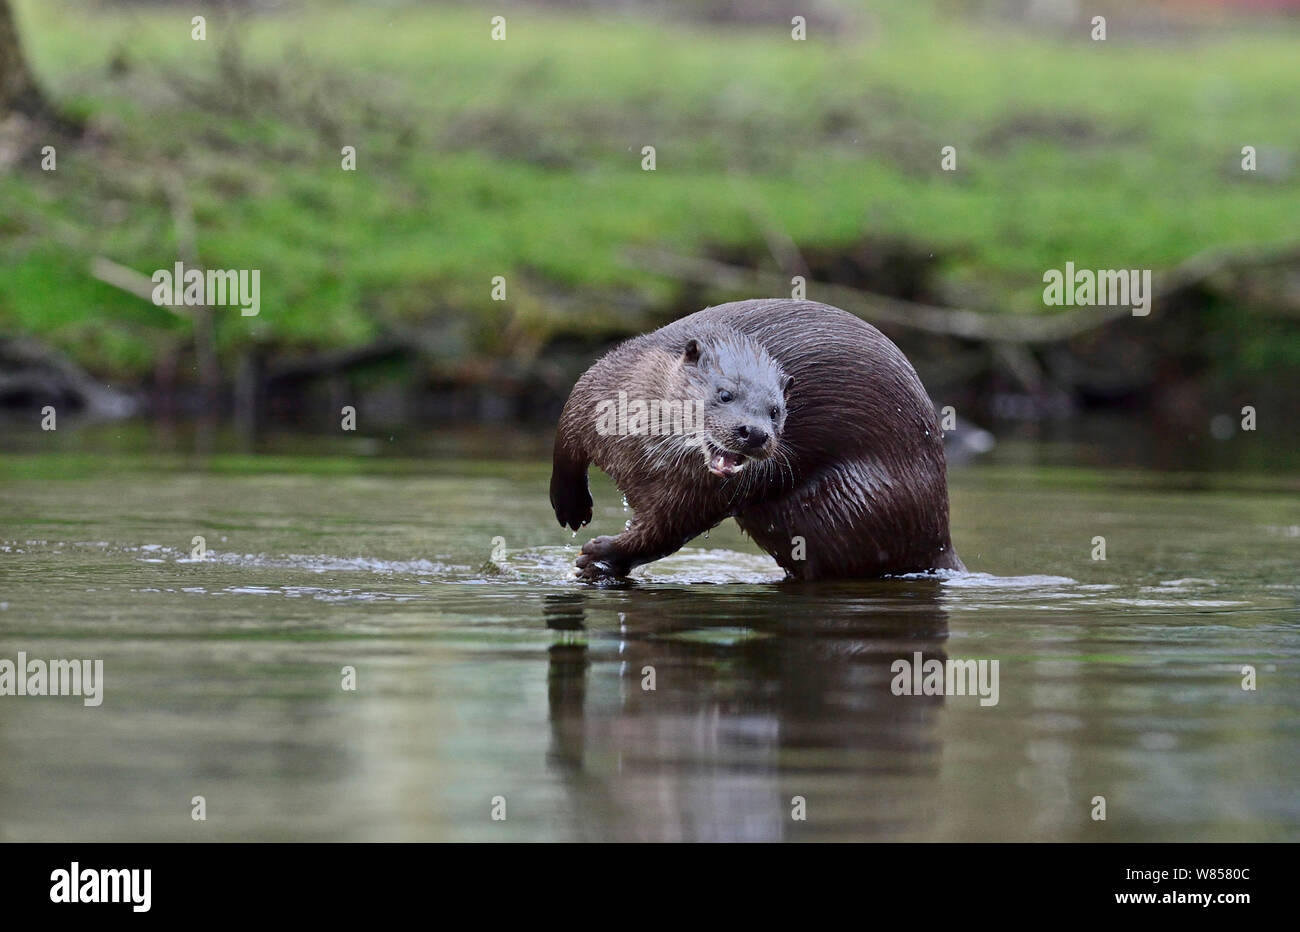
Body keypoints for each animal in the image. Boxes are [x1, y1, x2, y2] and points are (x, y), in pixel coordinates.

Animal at [548, 297, 967, 577]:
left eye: (777, 410)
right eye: (724, 394)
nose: (754, 434)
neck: (638, 455)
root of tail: (940, 536)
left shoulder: (696, 497)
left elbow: (663, 533)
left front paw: (600, 557)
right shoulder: (597, 389)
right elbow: (566, 441)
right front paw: (571, 507)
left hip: (855, 505)